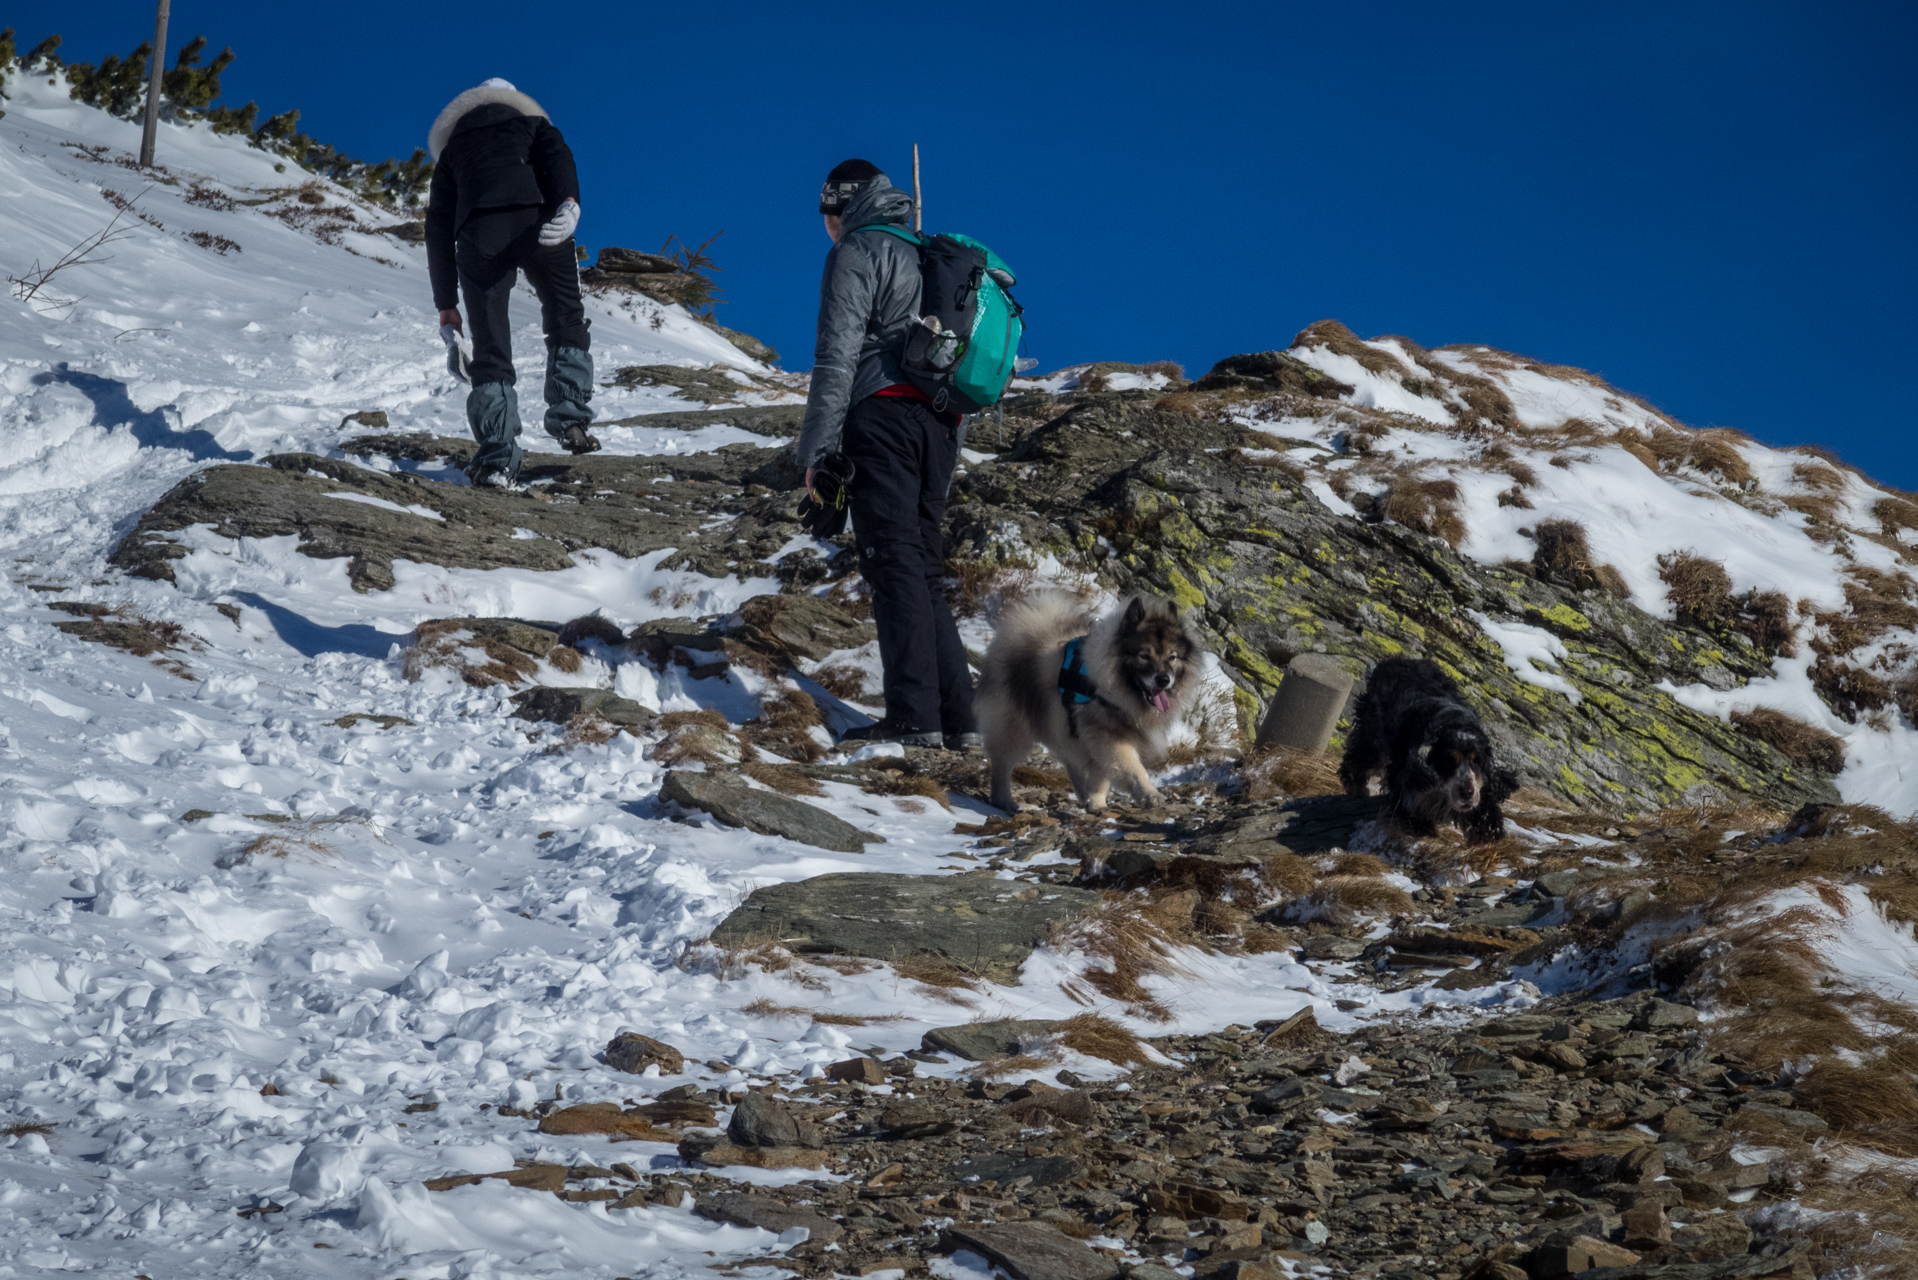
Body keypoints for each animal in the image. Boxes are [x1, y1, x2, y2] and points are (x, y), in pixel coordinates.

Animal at [989, 591, 1196, 809]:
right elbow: (1133, 768)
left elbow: (1100, 777)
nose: (1163, 679)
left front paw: (1097, 802)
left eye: (1172, 657)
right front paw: (1149, 794)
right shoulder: (1109, 736)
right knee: (1003, 763)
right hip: (1013, 727)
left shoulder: (1097, 739)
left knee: (1070, 762)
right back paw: (1003, 800)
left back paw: (1082, 794)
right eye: (1144, 656)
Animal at [1342, 660, 1519, 840]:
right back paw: (1357, 788)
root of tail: (1392, 662)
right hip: (1373, 736)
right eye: (1449, 761)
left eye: (1477, 761)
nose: (1467, 793)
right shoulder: (1407, 776)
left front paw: (1489, 829)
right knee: (1358, 760)